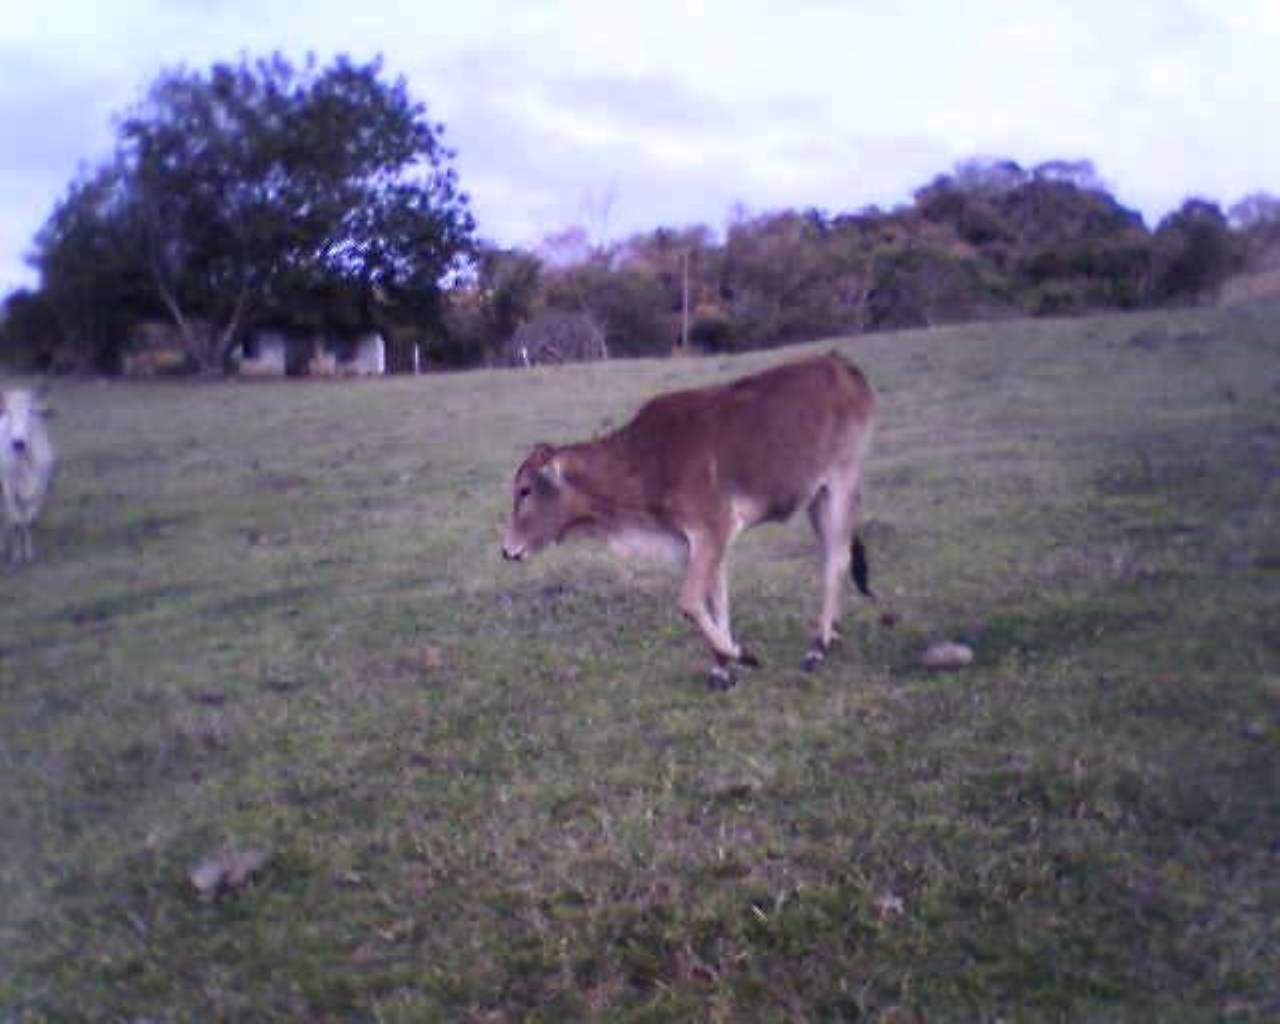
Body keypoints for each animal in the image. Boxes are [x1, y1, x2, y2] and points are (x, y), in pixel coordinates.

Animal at [0, 389, 56, 568]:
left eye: (31, 411)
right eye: (8, 412)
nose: (18, 443)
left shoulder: (40, 488)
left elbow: (29, 521)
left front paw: (30, 555)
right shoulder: (9, 489)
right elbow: (17, 522)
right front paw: (17, 557)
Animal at [504, 353, 875, 686]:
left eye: (525, 490)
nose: (507, 551)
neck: (642, 461)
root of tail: (841, 365)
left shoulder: (712, 531)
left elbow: (689, 602)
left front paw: (741, 655)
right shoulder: (696, 543)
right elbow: (715, 601)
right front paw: (722, 667)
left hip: (840, 484)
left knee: (836, 560)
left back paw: (817, 647)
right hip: (816, 498)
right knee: (831, 555)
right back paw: (832, 633)